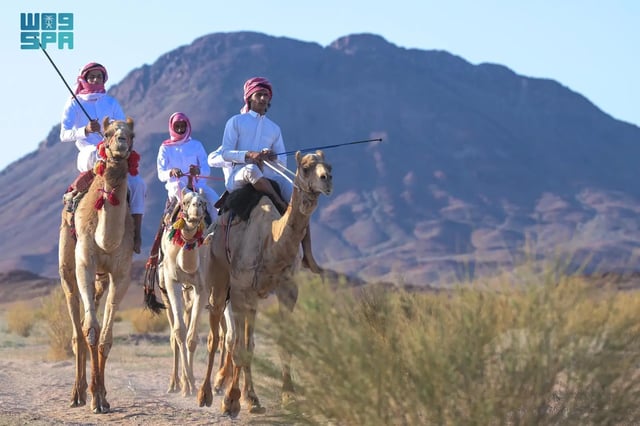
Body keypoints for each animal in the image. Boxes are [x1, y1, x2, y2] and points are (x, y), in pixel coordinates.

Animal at [57, 116, 138, 412]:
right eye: (108, 132)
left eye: (131, 134)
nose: (121, 143)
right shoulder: (85, 263)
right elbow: (90, 331)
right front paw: (93, 398)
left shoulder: (122, 274)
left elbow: (105, 337)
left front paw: (102, 397)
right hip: (67, 267)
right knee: (76, 328)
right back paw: (76, 395)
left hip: (101, 280)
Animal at [158, 189, 210, 396]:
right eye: (186, 202)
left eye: (204, 202)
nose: (196, 207)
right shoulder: (172, 282)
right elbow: (179, 333)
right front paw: (187, 383)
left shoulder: (202, 288)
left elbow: (191, 337)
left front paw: (193, 385)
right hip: (165, 292)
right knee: (173, 336)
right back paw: (174, 384)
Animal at [198, 150, 332, 416]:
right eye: (305, 167)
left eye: (329, 166)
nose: (327, 179)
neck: (271, 239)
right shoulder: (241, 291)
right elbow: (238, 347)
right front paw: (230, 401)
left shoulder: (287, 290)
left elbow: (279, 343)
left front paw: (288, 396)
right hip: (217, 279)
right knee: (215, 337)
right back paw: (206, 393)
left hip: (251, 299)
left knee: (246, 341)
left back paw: (250, 397)